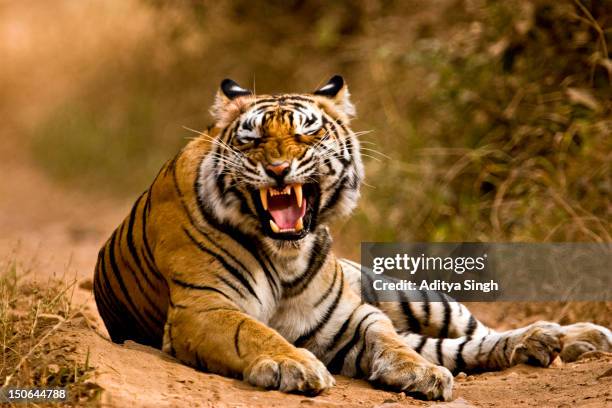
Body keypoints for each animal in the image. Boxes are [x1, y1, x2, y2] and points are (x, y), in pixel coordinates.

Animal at [92, 75, 612, 400]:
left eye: (306, 135)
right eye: (251, 139)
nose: (277, 168)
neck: (285, 257)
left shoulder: (349, 316)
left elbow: (389, 340)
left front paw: (421, 373)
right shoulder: (202, 308)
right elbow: (253, 330)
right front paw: (296, 365)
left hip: (409, 293)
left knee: (473, 333)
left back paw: (572, 337)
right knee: (461, 347)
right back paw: (551, 343)